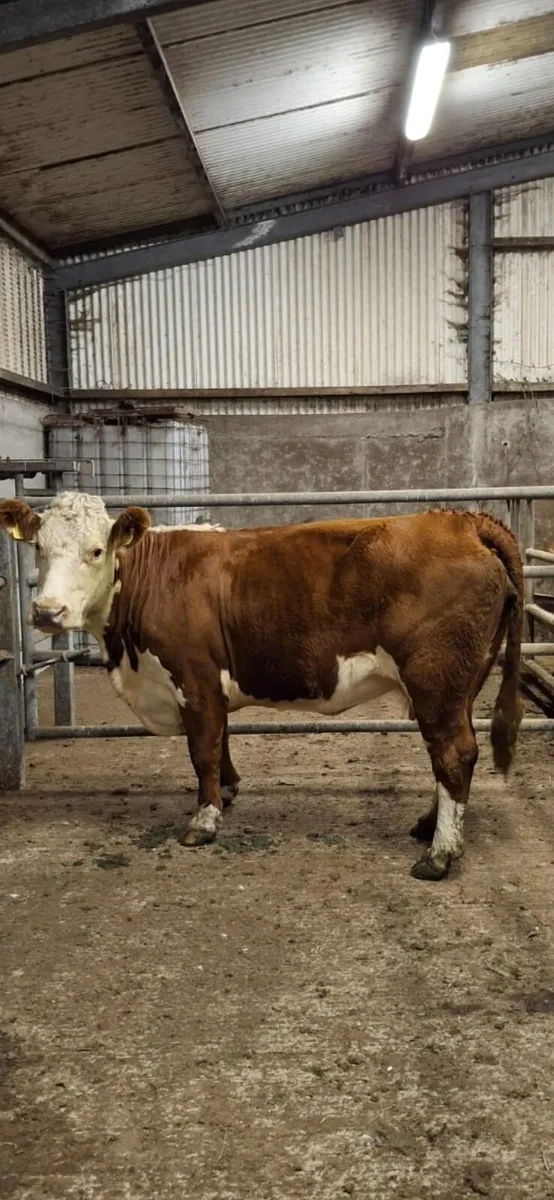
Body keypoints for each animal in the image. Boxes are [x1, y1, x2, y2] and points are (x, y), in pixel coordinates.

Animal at [0, 492, 523, 881]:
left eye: (96, 551)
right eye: (39, 548)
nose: (47, 612)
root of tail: (463, 521)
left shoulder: (194, 677)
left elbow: (203, 749)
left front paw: (204, 820)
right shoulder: (209, 686)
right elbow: (222, 739)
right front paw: (228, 792)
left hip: (435, 677)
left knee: (452, 752)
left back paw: (440, 854)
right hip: (463, 681)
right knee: (454, 753)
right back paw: (429, 825)